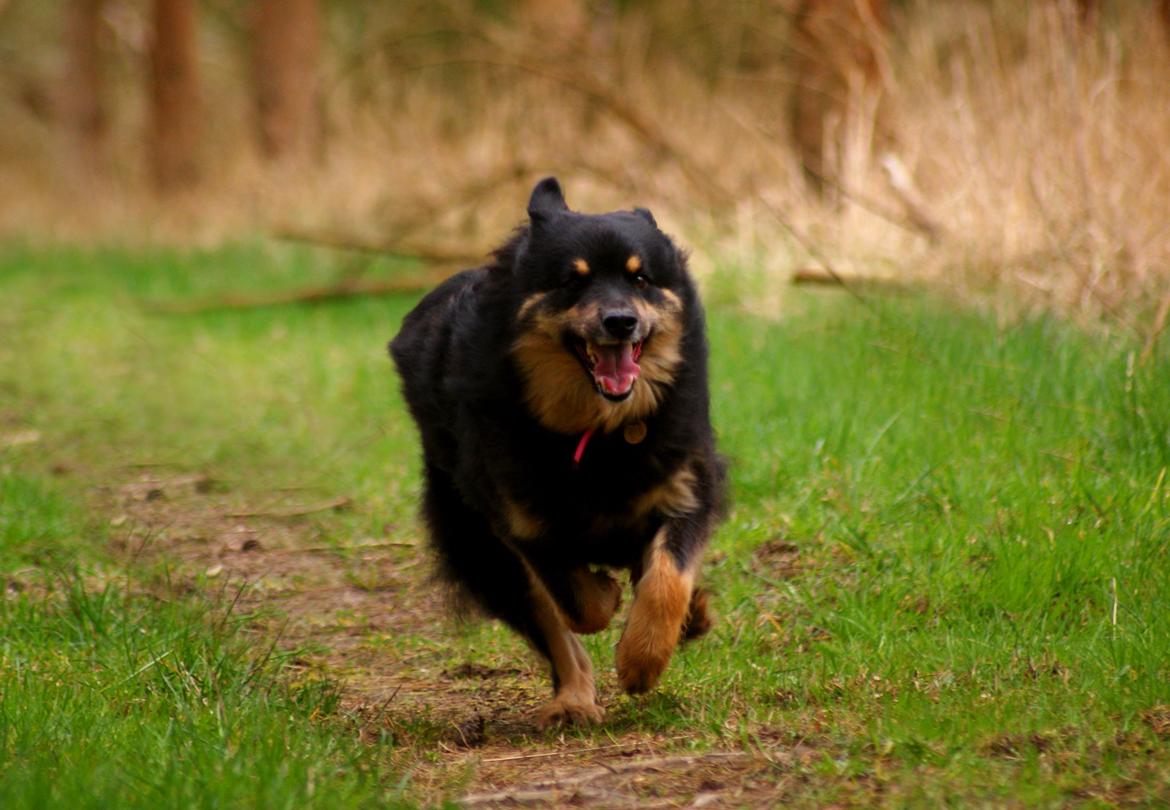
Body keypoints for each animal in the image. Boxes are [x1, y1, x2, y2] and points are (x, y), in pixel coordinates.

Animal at [390, 179, 720, 725]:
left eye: (641, 278)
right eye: (571, 281)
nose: (620, 321)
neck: (598, 430)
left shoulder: (688, 487)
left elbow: (666, 577)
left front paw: (644, 657)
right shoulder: (521, 520)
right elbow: (580, 605)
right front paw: (610, 599)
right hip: (478, 544)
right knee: (551, 625)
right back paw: (574, 700)